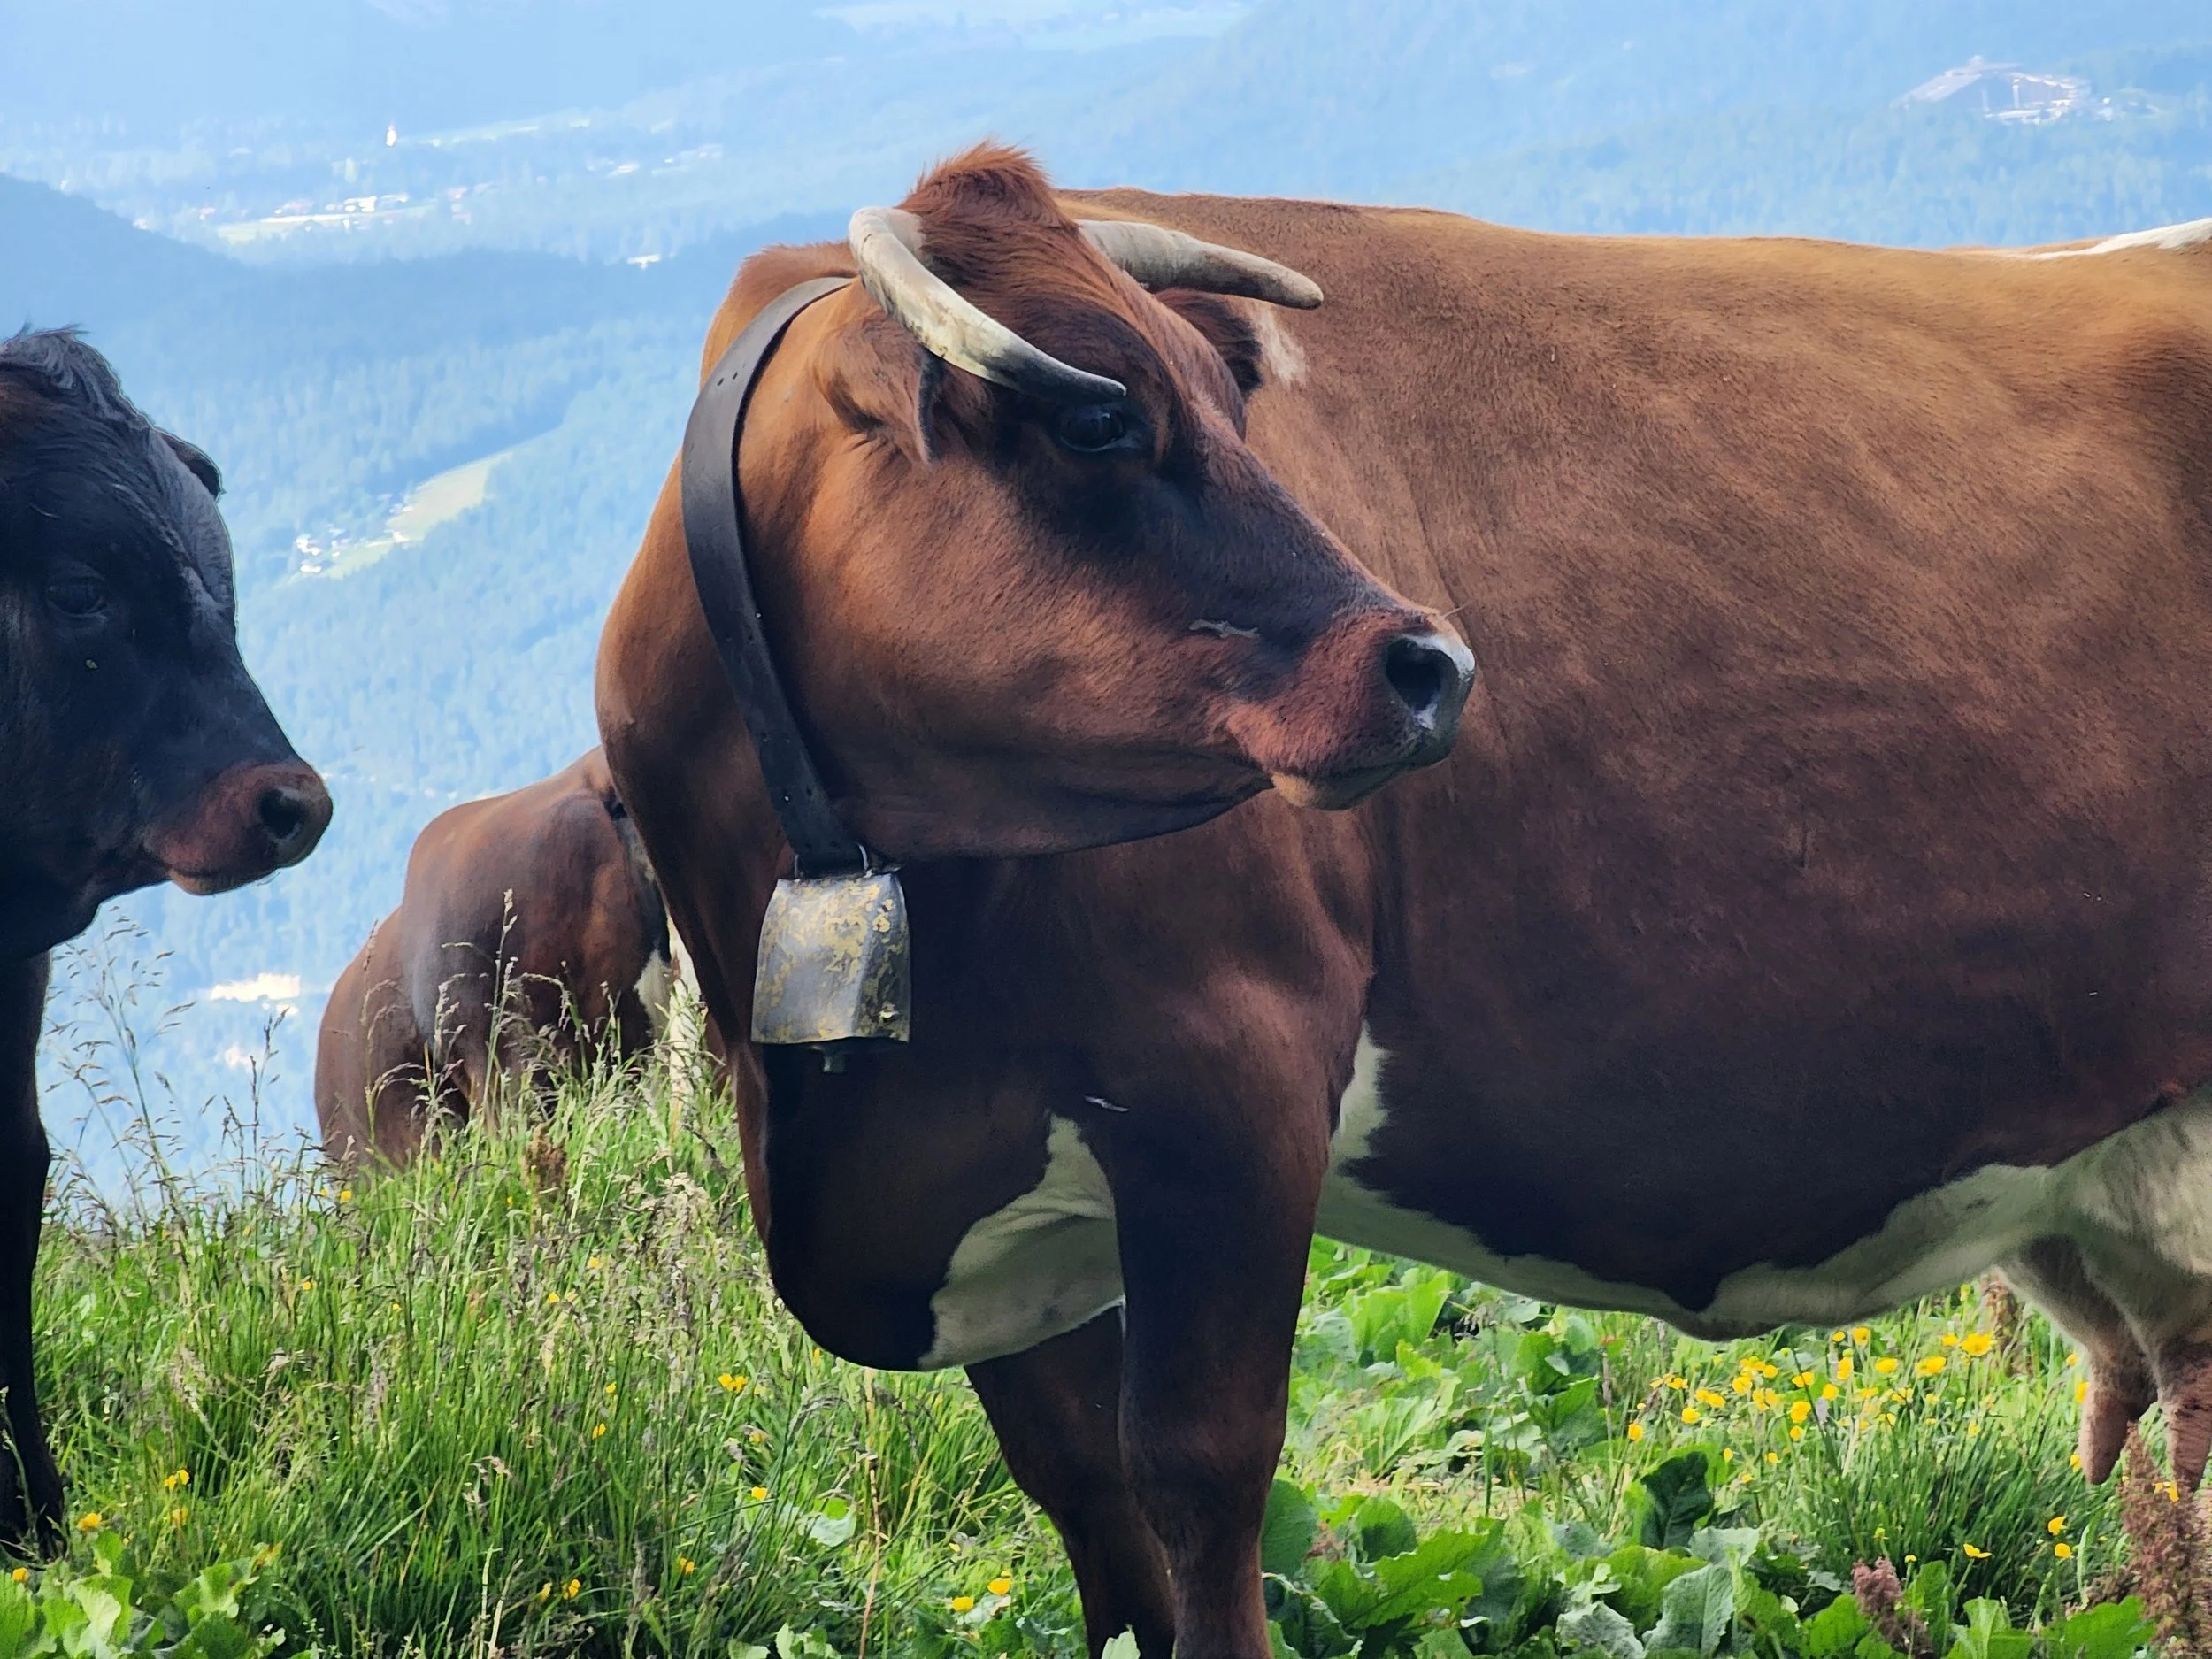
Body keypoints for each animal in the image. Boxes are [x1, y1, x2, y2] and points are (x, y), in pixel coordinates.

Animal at [598, 145, 2212, 1658]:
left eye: (1231, 401)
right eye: (1101, 417)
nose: (1431, 665)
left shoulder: (1230, 1079)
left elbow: (1199, 1476)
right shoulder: (995, 1200)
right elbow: (1087, 1502)